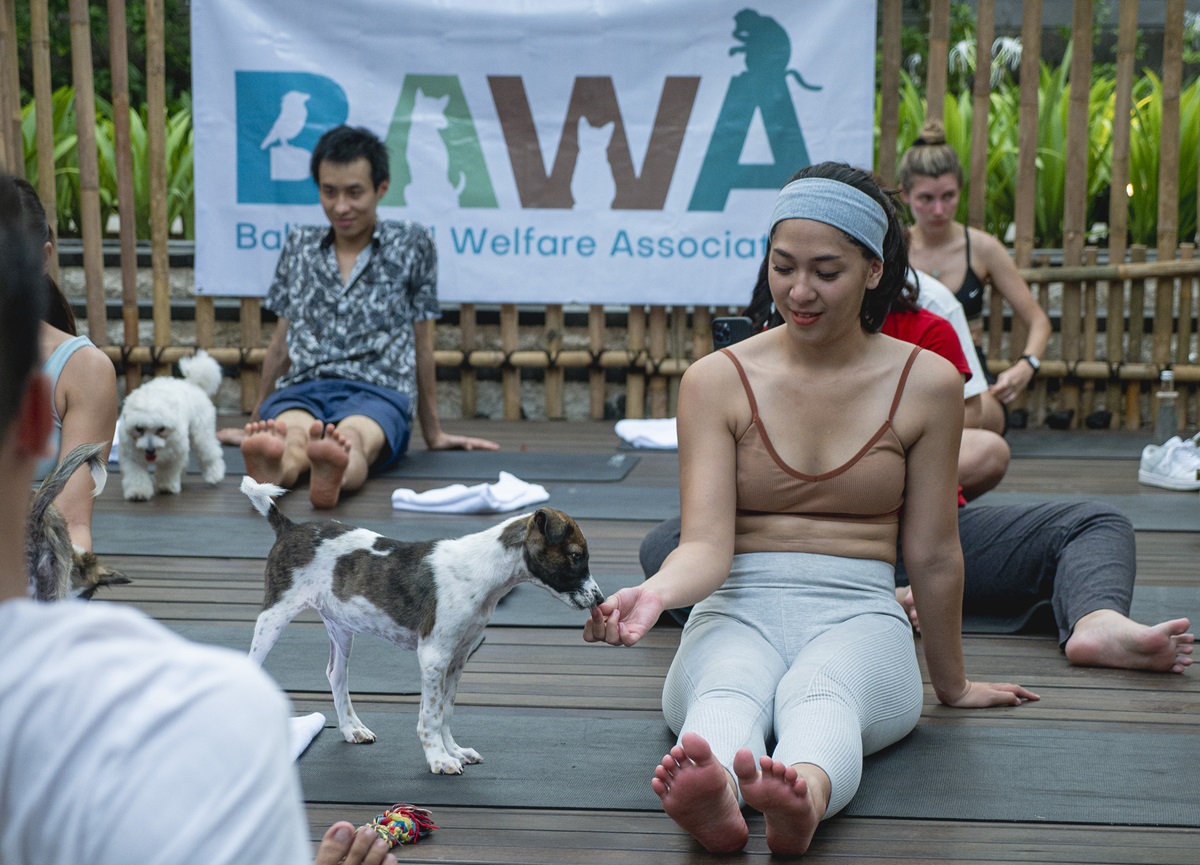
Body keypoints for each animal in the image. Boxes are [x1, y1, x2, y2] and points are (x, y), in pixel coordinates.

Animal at [120, 350, 226, 499]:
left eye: (161, 429)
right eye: (139, 429)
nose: (150, 450)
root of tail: (192, 384)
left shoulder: (175, 453)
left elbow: (168, 470)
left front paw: (166, 486)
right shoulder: (131, 455)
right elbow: (136, 474)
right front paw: (138, 492)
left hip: (201, 433)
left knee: (210, 452)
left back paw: (214, 474)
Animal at [240, 475, 604, 772]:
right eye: (576, 556)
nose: (600, 599)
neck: (484, 571)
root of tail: (288, 527)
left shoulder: (458, 657)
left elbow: (446, 710)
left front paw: (454, 751)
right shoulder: (433, 656)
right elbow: (430, 714)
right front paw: (439, 759)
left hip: (341, 626)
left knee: (336, 674)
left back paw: (351, 728)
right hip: (274, 614)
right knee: (252, 666)